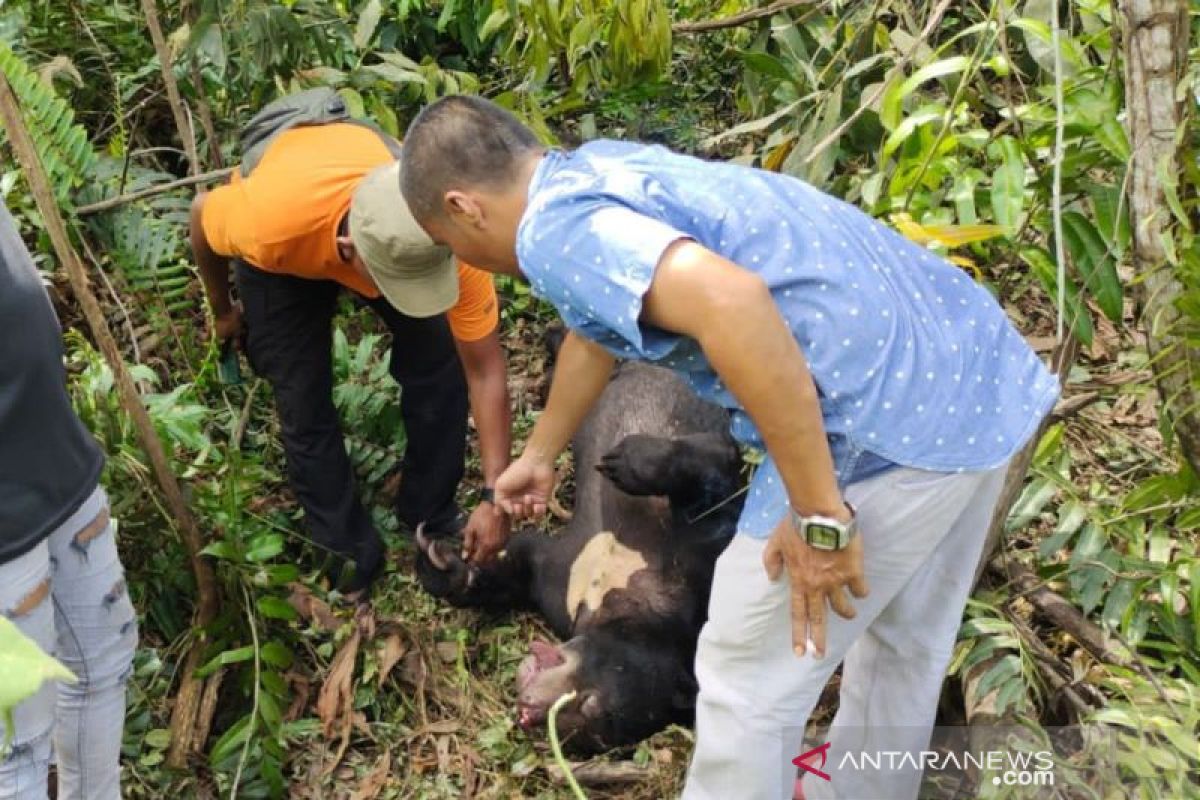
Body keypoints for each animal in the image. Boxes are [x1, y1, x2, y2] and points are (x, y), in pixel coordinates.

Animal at [417, 359, 744, 753]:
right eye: (591, 703)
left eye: (592, 718)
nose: (529, 714)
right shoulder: (691, 547)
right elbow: (719, 458)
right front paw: (442, 564)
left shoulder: (562, 579)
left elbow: (524, 562)